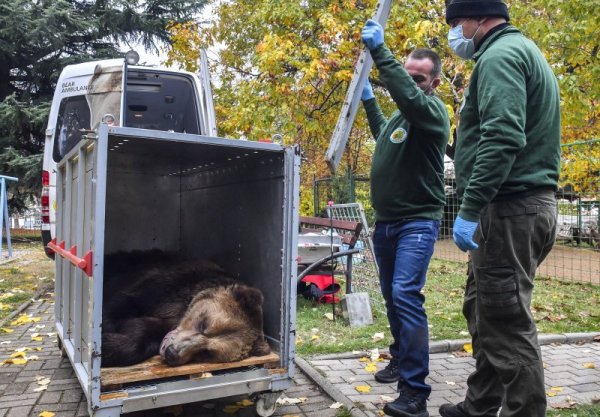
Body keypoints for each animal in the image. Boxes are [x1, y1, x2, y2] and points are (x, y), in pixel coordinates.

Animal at [101, 250, 270, 364]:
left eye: (206, 353)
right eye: (203, 324)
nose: (172, 353)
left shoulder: (164, 323)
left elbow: (142, 333)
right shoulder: (166, 288)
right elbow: (121, 305)